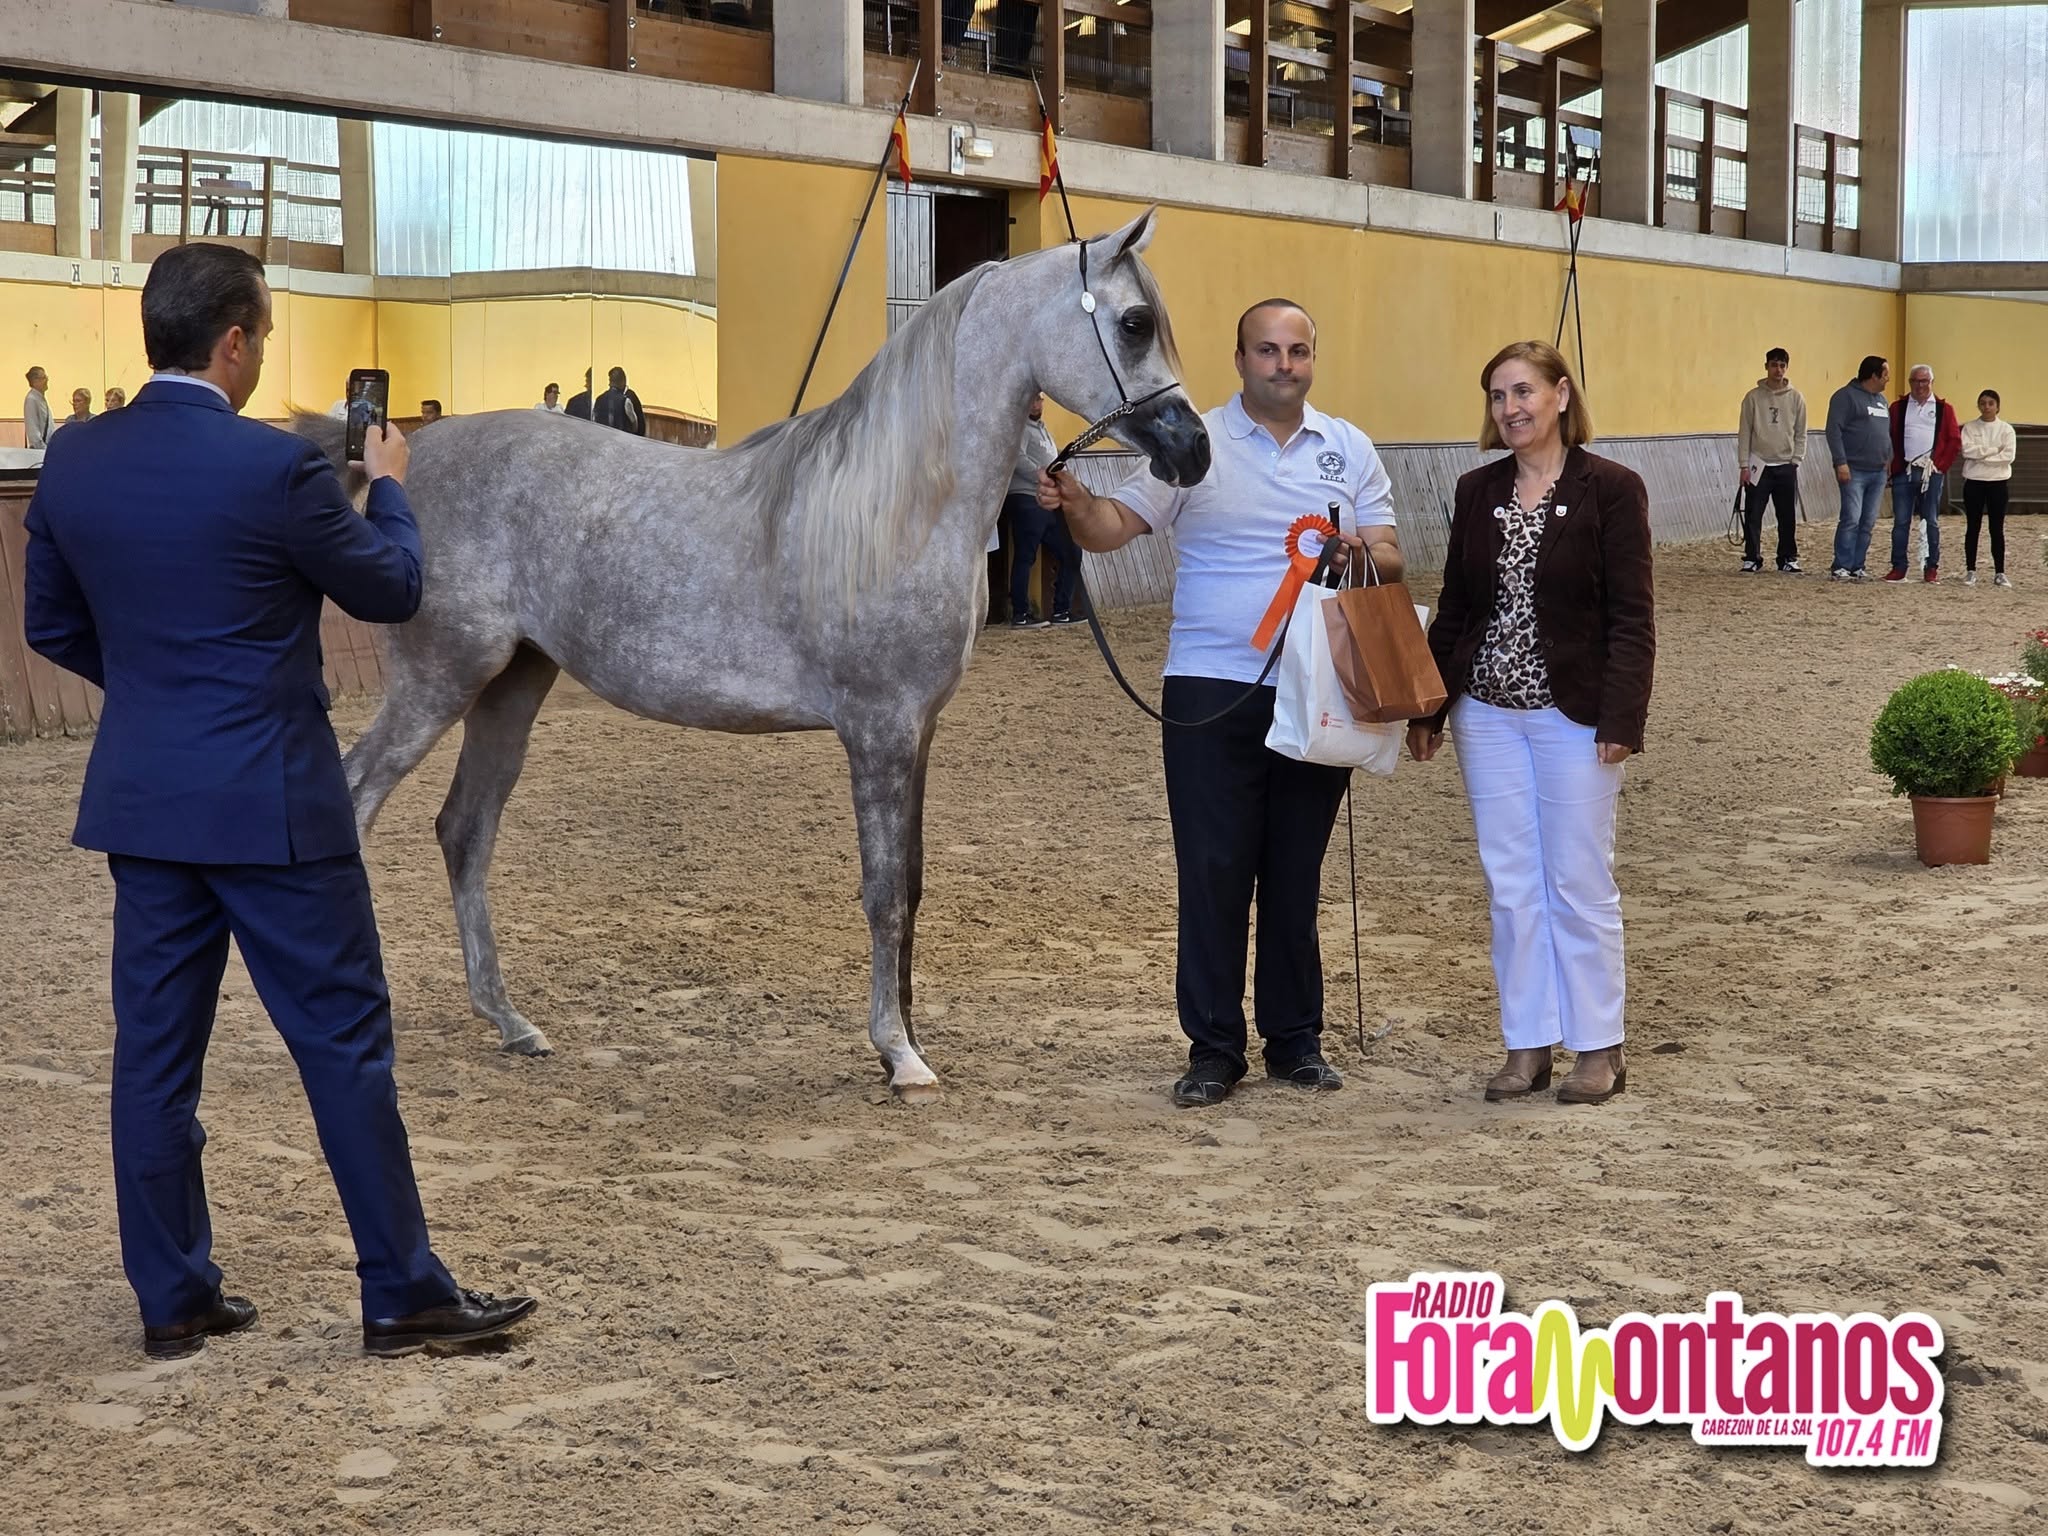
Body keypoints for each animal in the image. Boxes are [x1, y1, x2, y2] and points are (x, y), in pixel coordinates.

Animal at [296, 207, 1209, 1100]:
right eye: (1134, 323)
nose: (1192, 450)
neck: (894, 503)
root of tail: (401, 459)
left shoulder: (917, 732)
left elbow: (912, 886)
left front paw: (906, 1043)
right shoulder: (878, 730)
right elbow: (883, 891)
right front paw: (900, 1055)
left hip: (511, 685)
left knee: (465, 830)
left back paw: (512, 1022)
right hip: (438, 680)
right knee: (359, 802)